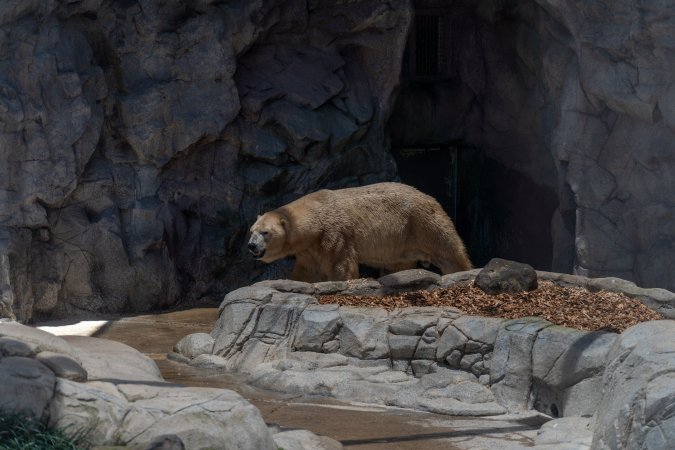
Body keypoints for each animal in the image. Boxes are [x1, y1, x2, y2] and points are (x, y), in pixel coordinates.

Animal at [247, 182, 472, 282]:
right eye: (252, 231)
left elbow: (341, 265)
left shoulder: (334, 234)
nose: (251, 246)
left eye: (265, 232)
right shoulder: (308, 249)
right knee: (399, 264)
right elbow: (307, 271)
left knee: (449, 250)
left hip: (422, 222)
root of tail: (430, 198)